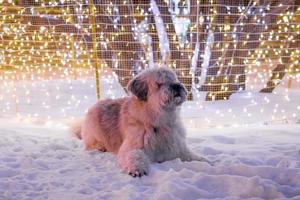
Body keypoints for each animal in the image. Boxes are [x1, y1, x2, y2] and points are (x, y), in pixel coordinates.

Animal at [70, 67, 210, 177]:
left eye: (174, 80)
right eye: (159, 83)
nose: (176, 86)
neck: (158, 122)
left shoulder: (176, 147)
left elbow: (190, 155)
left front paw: (205, 161)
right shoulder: (132, 146)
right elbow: (135, 156)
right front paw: (137, 169)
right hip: (94, 130)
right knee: (90, 144)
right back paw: (100, 146)